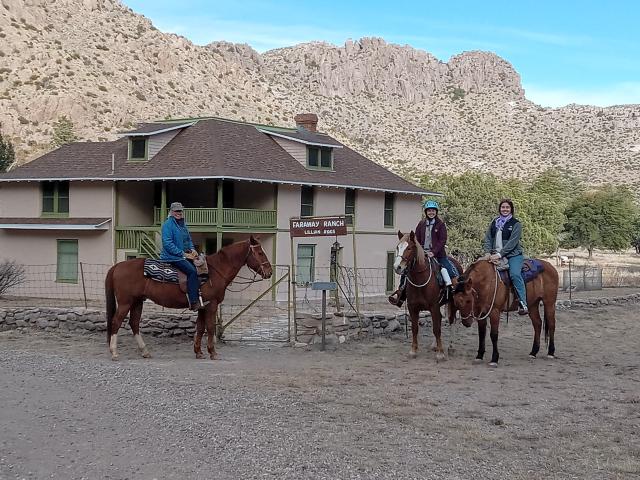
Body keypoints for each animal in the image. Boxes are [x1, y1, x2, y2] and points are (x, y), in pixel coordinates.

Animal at [104, 236, 272, 360]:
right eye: (260, 253)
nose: (269, 272)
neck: (215, 271)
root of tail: (117, 266)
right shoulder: (212, 305)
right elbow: (210, 328)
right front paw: (213, 352)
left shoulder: (202, 306)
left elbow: (200, 328)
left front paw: (199, 352)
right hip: (126, 302)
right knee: (116, 322)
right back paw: (114, 352)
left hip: (137, 301)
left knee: (134, 323)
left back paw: (144, 351)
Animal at [392, 232, 462, 360]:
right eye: (398, 247)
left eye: (409, 248)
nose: (397, 267)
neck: (420, 279)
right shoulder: (413, 307)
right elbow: (415, 328)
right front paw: (413, 351)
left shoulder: (434, 306)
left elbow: (436, 329)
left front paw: (440, 353)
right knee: (440, 320)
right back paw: (435, 345)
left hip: (452, 303)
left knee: (451, 321)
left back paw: (451, 347)